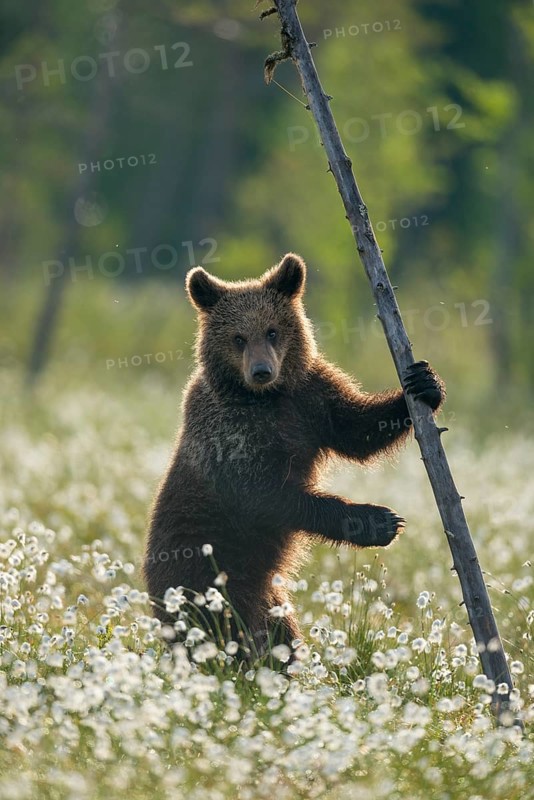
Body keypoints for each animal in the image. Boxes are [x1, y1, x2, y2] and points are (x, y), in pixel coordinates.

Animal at [143, 253, 445, 656]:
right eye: (238, 337)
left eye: (272, 331)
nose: (261, 371)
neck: (267, 398)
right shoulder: (231, 434)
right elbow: (267, 496)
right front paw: (378, 521)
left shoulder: (310, 397)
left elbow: (355, 430)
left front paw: (423, 383)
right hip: (205, 579)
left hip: (269, 602)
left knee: (279, 639)